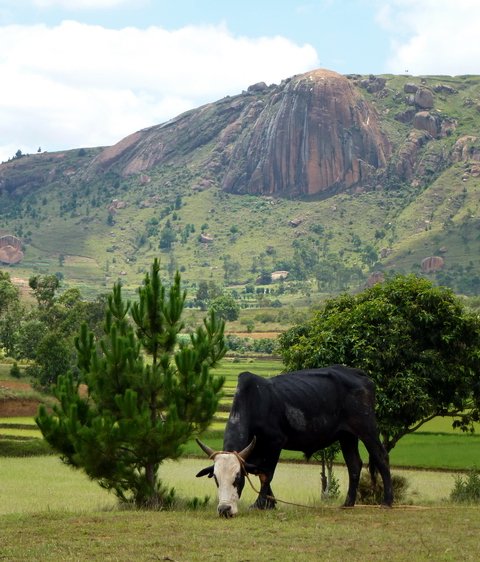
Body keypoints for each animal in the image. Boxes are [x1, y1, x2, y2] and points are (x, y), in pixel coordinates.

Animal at [197, 364, 392, 516]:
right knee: (354, 464)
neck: (254, 403)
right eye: (216, 478)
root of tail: (359, 374)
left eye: (237, 478)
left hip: (367, 428)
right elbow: (260, 473)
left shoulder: (275, 443)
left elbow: (266, 474)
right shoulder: (255, 452)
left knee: (381, 456)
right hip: (347, 436)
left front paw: (260, 504)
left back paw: (387, 501)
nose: (224, 509)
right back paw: (348, 503)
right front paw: (271, 503)